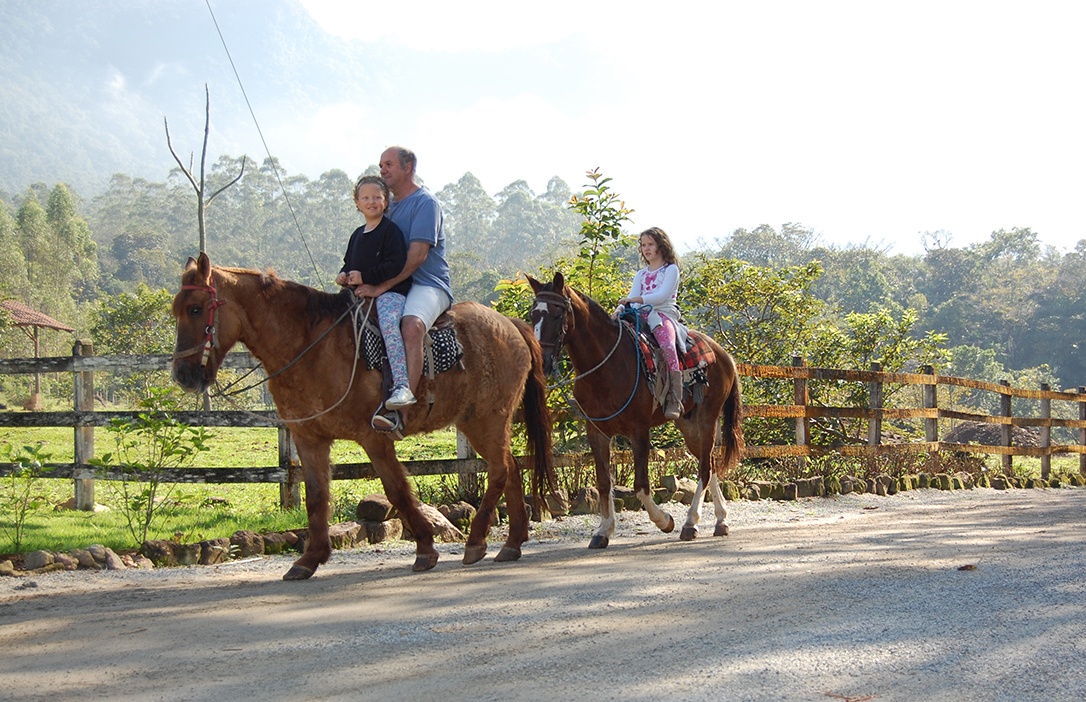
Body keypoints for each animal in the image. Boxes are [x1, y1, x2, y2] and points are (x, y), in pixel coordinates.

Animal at [175, 253, 560, 582]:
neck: (311, 346)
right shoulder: (309, 439)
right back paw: (512, 543)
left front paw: (425, 548)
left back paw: (477, 541)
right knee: (510, 468)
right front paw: (309, 559)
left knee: (500, 470)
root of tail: (510, 324)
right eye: (176, 310)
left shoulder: (374, 437)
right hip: (480, 421)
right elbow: (317, 496)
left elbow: (397, 491)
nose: (183, 375)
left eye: (196, 308)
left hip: (487, 420)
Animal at [527, 273, 747, 549]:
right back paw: (721, 521)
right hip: (688, 424)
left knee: (705, 469)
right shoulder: (597, 431)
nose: (542, 361)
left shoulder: (638, 430)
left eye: (558, 314)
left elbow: (641, 485)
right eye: (533, 314)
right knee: (710, 463)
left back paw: (690, 523)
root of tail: (723, 354)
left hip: (707, 418)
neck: (607, 365)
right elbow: (603, 482)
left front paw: (665, 521)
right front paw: (603, 531)